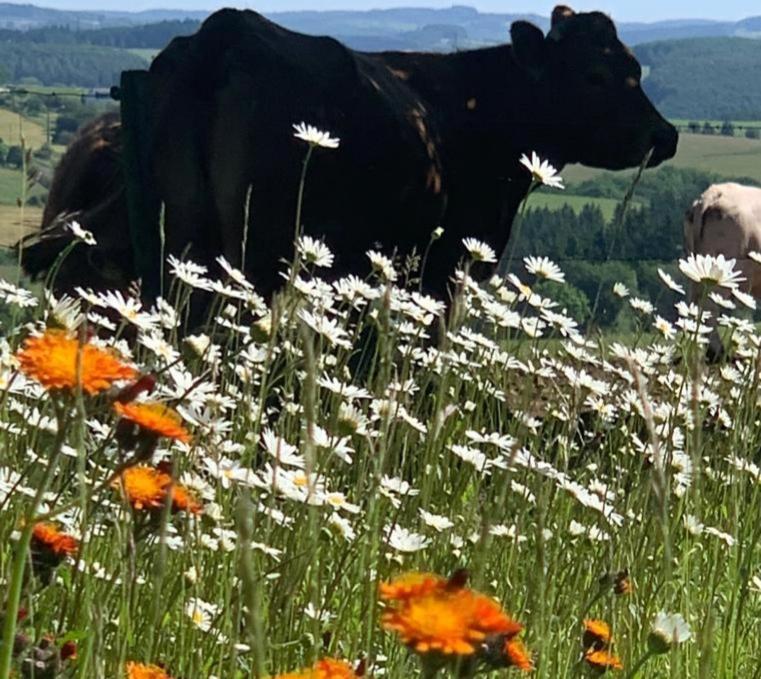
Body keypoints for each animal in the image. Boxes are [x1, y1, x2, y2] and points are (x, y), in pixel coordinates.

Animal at [20, 5, 676, 300]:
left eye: (636, 67)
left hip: (171, 239)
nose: (664, 135)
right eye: (596, 75)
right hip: (255, 255)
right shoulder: (445, 273)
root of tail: (224, 31)